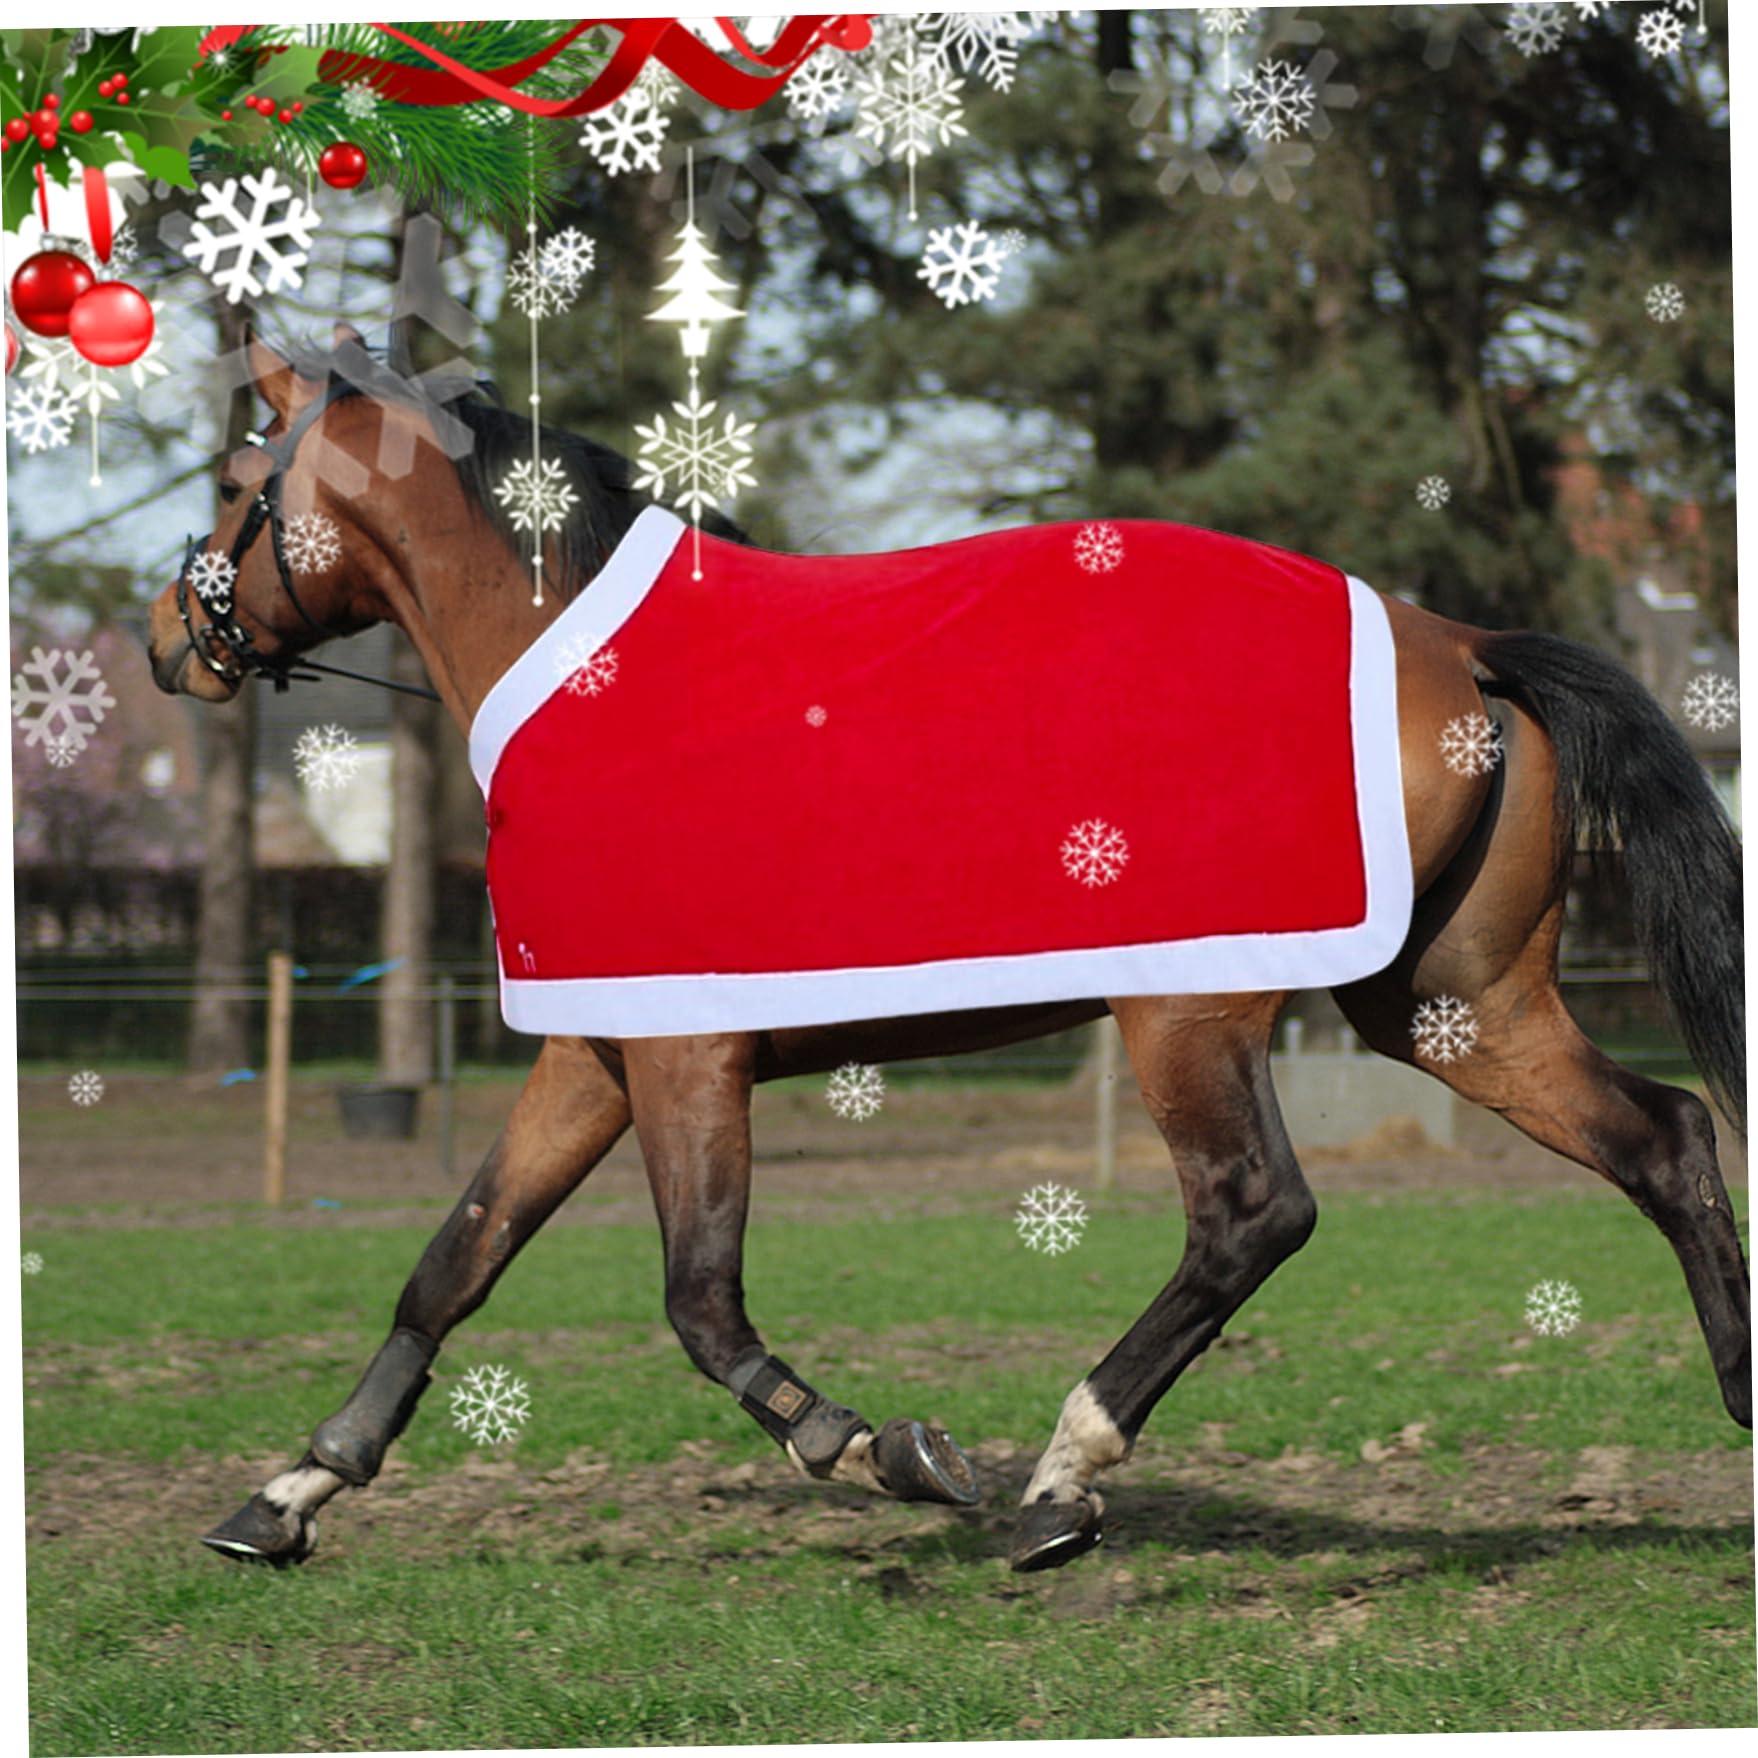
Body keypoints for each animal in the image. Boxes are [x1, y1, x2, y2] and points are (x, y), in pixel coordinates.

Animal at [146, 333, 1750, 1575]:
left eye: (232, 485)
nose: (167, 636)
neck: (580, 673)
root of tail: (1455, 639)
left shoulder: (686, 1059)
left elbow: (700, 1304)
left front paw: (886, 1450)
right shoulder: (593, 1054)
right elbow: (453, 1265)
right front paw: (286, 1496)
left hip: (1190, 1007)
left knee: (1252, 1213)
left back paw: (1057, 1482)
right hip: (1451, 1005)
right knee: (1663, 1135)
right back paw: (1739, 1398)